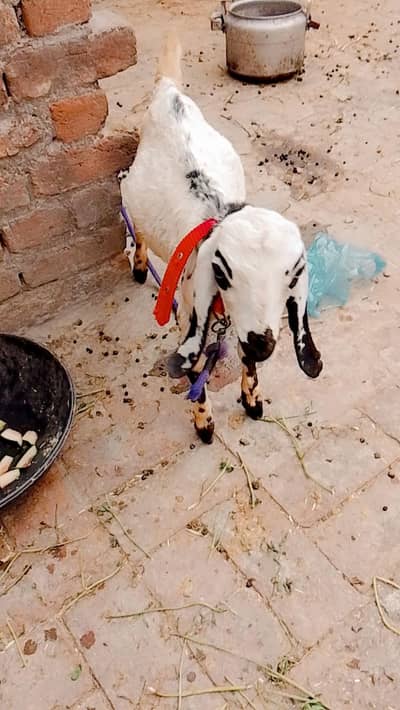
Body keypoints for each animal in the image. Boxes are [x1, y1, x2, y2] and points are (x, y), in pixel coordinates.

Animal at [120, 33, 323, 444]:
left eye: (293, 274)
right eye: (223, 273)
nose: (263, 342)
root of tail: (169, 93)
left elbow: (246, 362)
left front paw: (253, 399)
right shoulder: (188, 312)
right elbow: (196, 368)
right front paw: (204, 424)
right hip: (131, 192)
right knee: (138, 226)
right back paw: (139, 264)